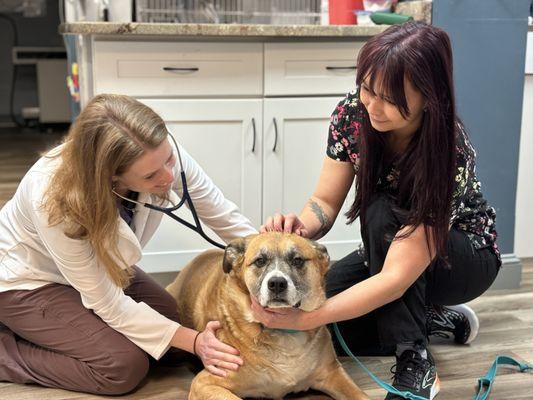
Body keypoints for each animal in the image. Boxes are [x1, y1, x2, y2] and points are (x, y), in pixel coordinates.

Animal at [165, 233, 366, 400]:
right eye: (260, 261)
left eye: (297, 260)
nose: (277, 283)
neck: (283, 334)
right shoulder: (205, 383)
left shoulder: (333, 373)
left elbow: (361, 395)